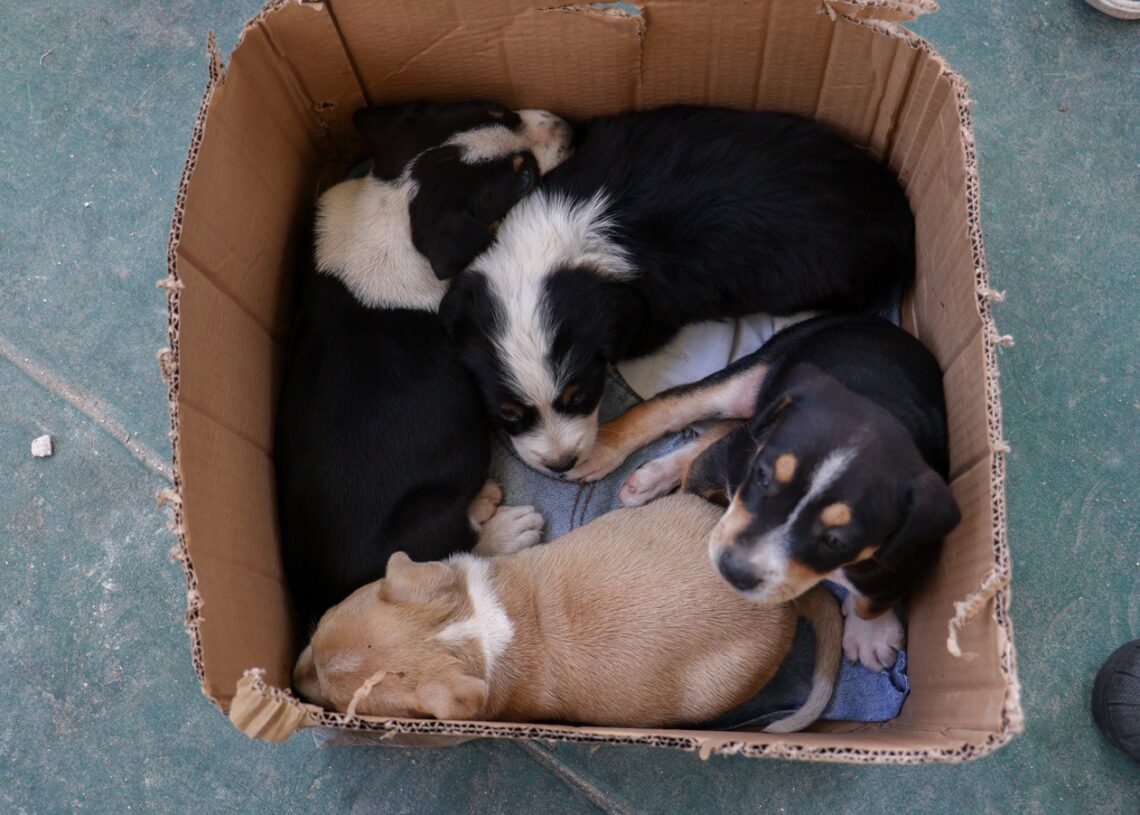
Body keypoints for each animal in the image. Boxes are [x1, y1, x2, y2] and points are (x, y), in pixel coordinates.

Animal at [275, 101, 573, 630]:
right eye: (523, 178)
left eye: (500, 109)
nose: (569, 128)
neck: (395, 208)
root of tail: (323, 603)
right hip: (423, 525)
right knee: (452, 552)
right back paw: (507, 527)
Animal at [439, 106, 914, 477]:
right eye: (507, 414)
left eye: (581, 395)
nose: (561, 464)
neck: (564, 235)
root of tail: (901, 215)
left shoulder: (651, 313)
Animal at [563, 315, 961, 671]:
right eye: (763, 476)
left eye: (837, 540)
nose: (734, 571)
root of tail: (879, 323)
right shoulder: (725, 462)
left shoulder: (909, 548)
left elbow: (875, 595)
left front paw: (870, 632)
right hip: (751, 375)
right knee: (672, 407)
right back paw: (601, 453)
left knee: (719, 429)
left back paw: (651, 477)